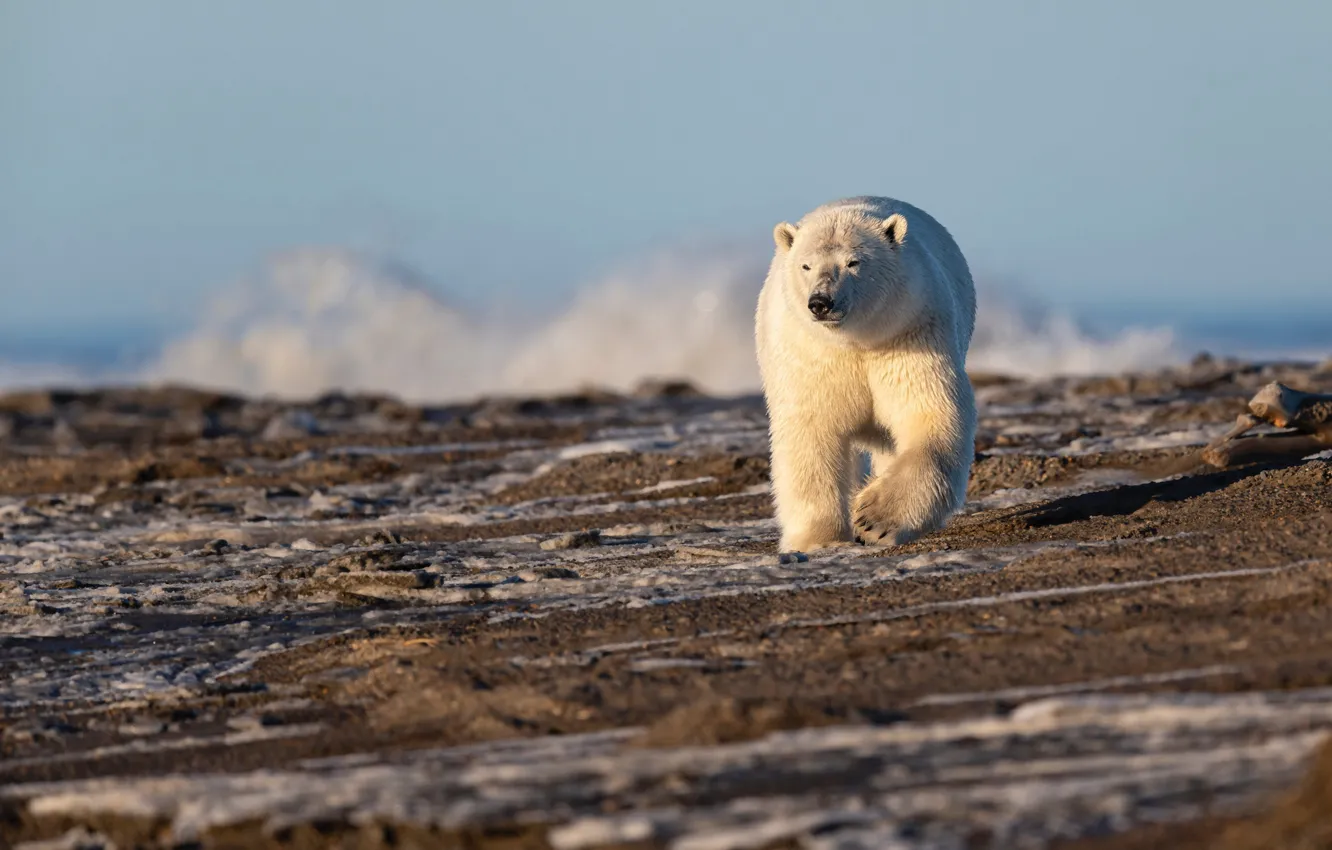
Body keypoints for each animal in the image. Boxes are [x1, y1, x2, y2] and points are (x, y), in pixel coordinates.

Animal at [754, 196, 977, 553]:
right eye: (806, 266)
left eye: (853, 262)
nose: (821, 302)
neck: (857, 340)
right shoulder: (810, 355)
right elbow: (810, 434)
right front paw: (818, 538)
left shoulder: (910, 332)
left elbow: (929, 415)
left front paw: (873, 518)